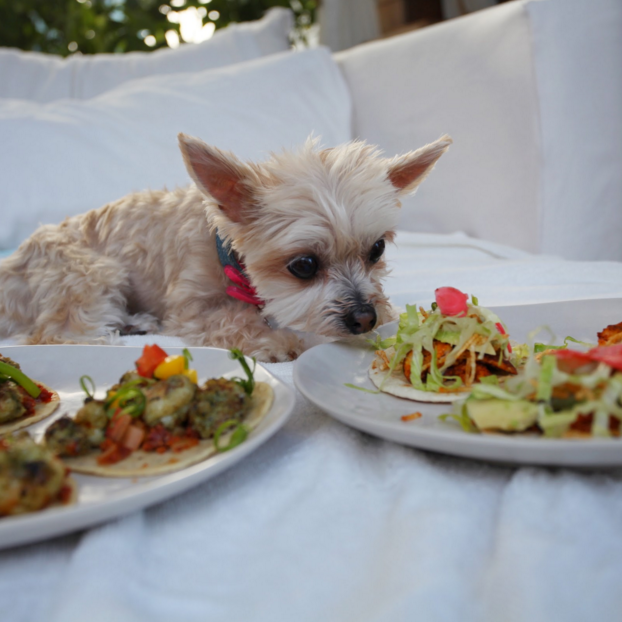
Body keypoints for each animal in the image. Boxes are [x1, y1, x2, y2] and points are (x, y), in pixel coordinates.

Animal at [0, 134, 450, 364]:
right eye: (304, 265)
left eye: (376, 249)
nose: (365, 318)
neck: (228, 256)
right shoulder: (189, 309)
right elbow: (233, 320)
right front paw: (275, 340)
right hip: (88, 273)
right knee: (51, 335)